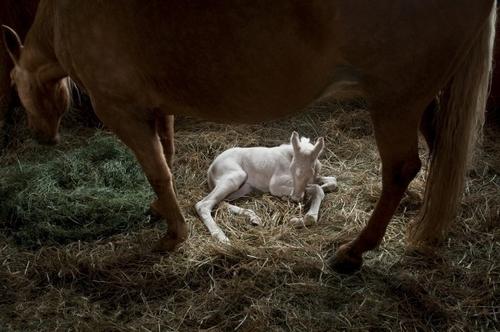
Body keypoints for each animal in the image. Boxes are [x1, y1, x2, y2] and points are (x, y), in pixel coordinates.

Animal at [195, 131, 336, 243]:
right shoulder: (275, 185)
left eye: (311, 172)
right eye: (291, 168)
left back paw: (254, 218)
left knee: (221, 202)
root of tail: (210, 169)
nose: (296, 199)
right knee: (203, 204)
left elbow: (333, 181)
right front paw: (299, 219)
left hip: (244, 187)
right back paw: (221, 237)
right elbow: (316, 188)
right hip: (236, 177)